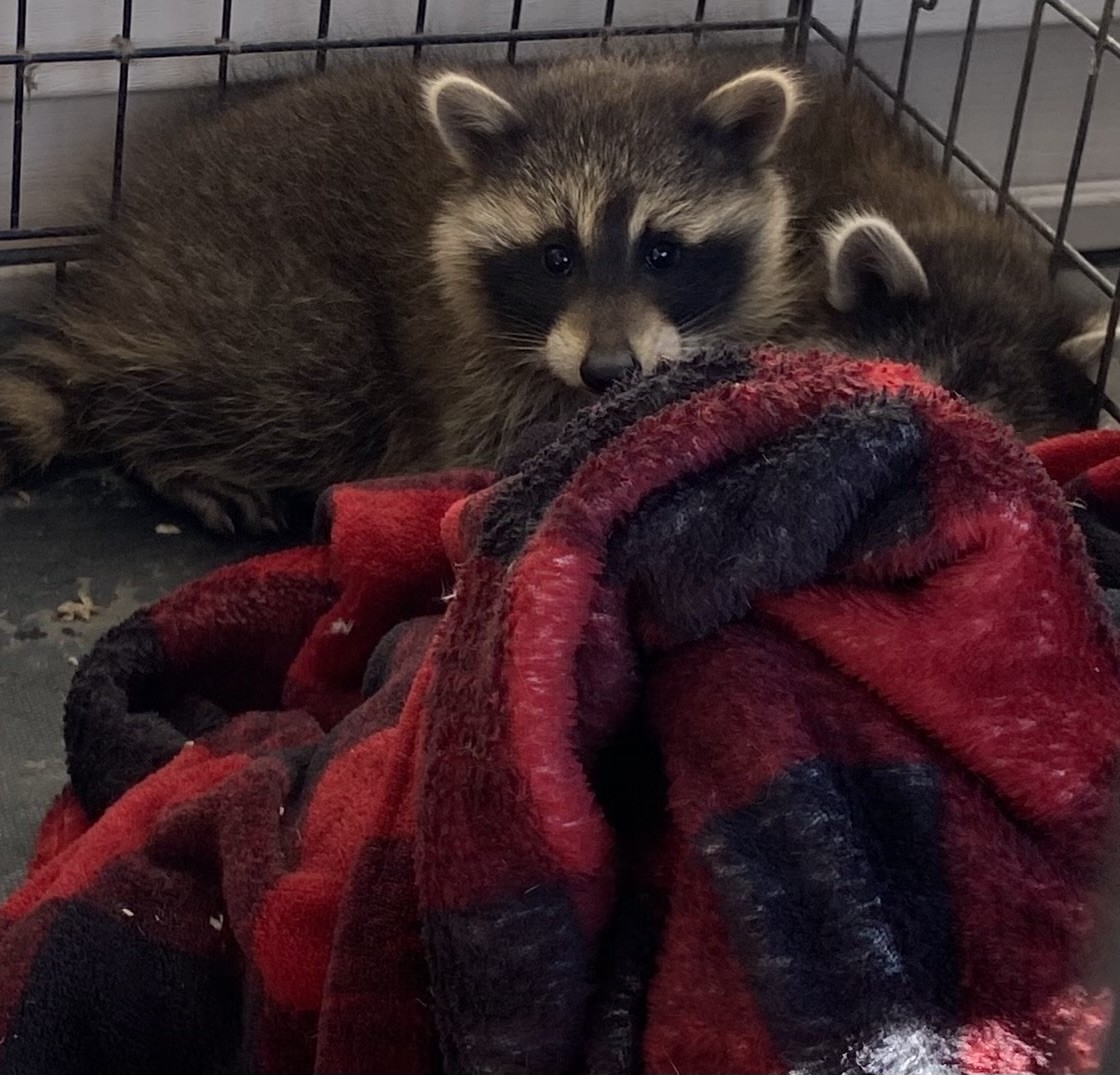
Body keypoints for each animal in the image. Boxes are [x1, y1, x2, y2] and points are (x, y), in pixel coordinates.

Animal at [0, 51, 801, 533]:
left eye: (663, 253)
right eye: (556, 257)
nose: (607, 372)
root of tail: (119, 267)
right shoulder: (465, 373)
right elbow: (484, 453)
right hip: (252, 304)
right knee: (313, 383)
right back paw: (166, 452)